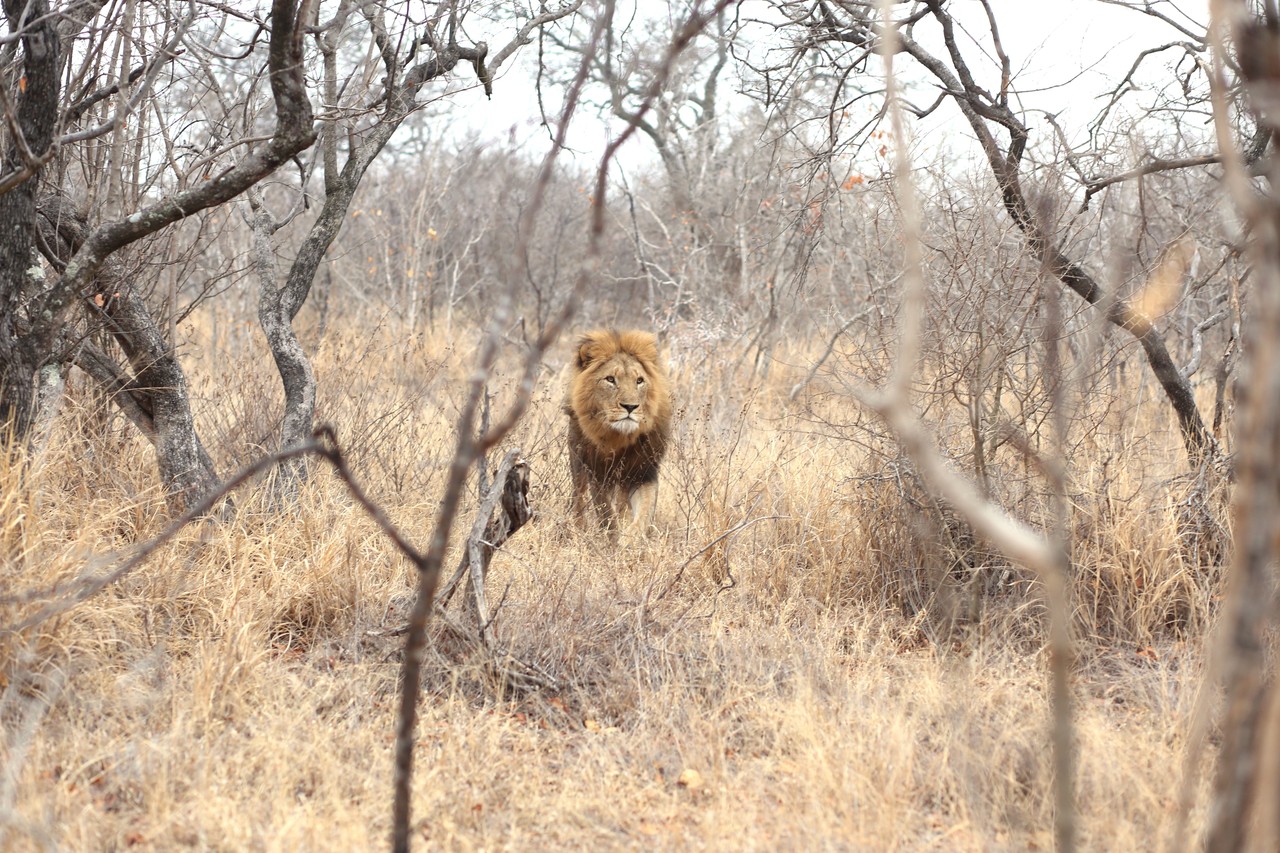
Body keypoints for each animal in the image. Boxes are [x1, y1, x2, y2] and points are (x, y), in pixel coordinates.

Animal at [563, 329, 672, 532]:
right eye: (610, 379)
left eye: (639, 381)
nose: (630, 407)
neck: (619, 438)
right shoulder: (596, 474)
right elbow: (607, 515)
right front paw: (612, 536)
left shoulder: (643, 472)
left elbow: (644, 512)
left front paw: (631, 537)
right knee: (579, 500)